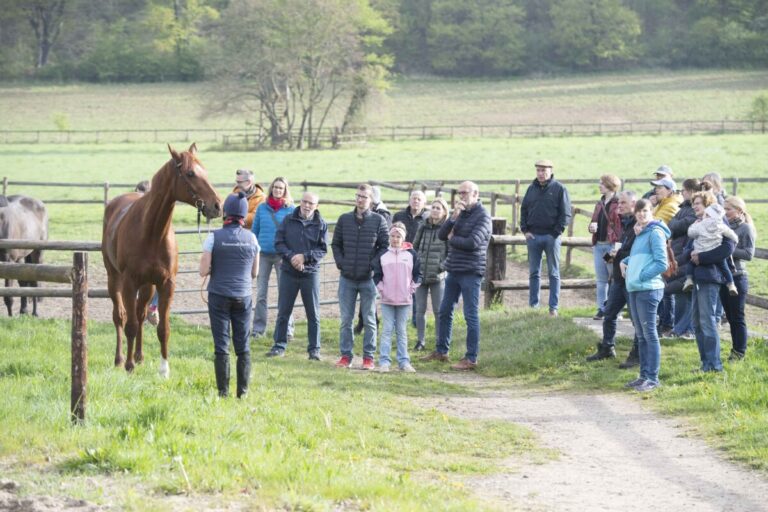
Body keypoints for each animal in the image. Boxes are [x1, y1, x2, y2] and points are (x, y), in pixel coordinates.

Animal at [102, 143, 222, 377]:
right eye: (190, 173)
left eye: (204, 170)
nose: (217, 205)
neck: (152, 231)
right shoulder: (129, 283)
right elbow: (129, 325)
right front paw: (129, 367)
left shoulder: (166, 284)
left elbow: (163, 329)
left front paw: (164, 370)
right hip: (114, 279)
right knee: (120, 317)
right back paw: (121, 359)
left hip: (148, 286)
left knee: (140, 314)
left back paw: (139, 356)